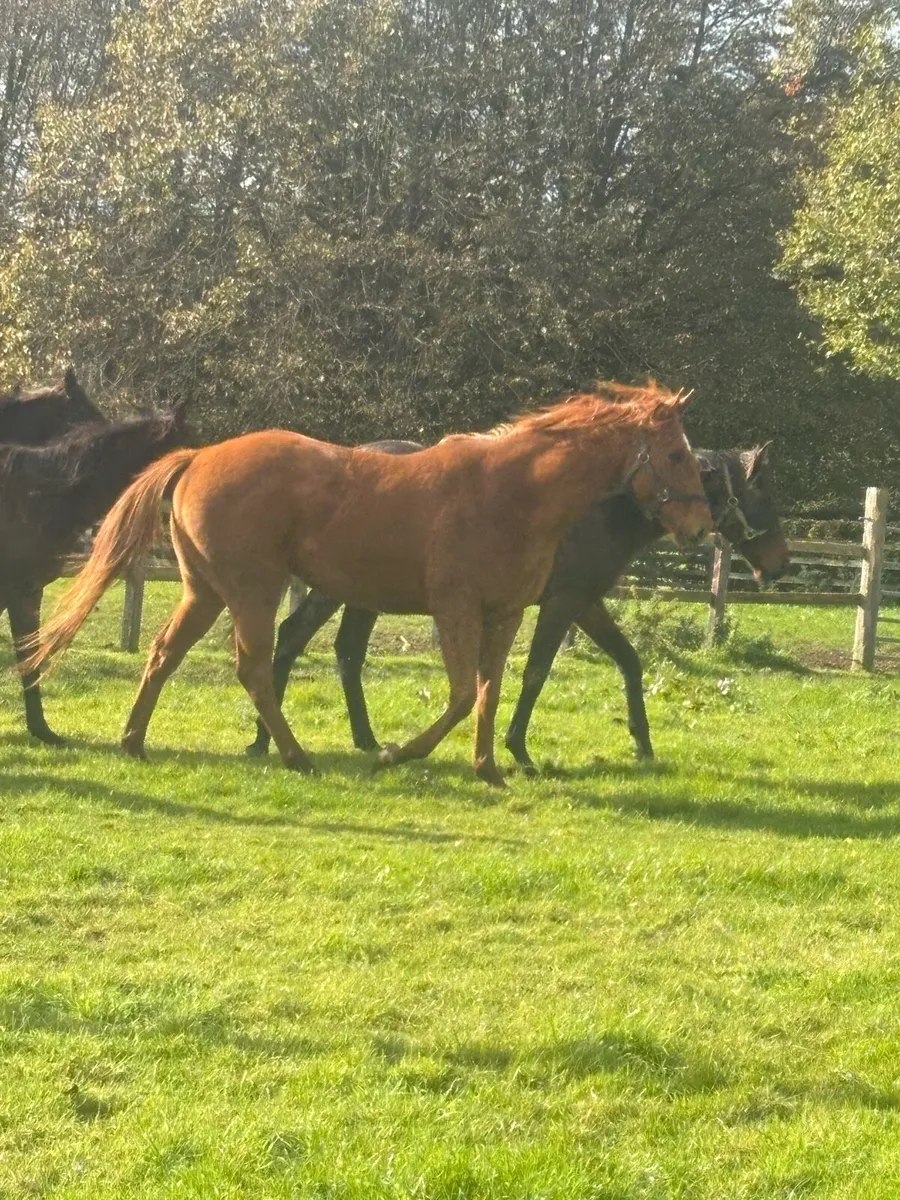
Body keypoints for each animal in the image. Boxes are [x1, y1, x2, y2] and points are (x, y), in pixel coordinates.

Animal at [28, 383, 713, 785]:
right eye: (677, 454)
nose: (701, 525)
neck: (510, 493)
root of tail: (200, 457)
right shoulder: (456, 608)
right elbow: (461, 695)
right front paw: (395, 754)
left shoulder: (509, 613)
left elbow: (489, 692)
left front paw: (489, 768)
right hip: (253, 592)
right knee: (255, 667)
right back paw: (296, 756)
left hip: (207, 592)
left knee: (163, 654)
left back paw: (135, 742)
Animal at [244, 441, 790, 769]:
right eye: (764, 495)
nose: (780, 565)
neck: (603, 511)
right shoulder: (562, 603)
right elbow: (536, 673)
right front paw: (519, 750)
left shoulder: (585, 603)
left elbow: (629, 662)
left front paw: (642, 742)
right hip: (338, 590)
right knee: (293, 639)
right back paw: (269, 740)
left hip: (363, 594)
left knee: (342, 651)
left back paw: (352, 740)